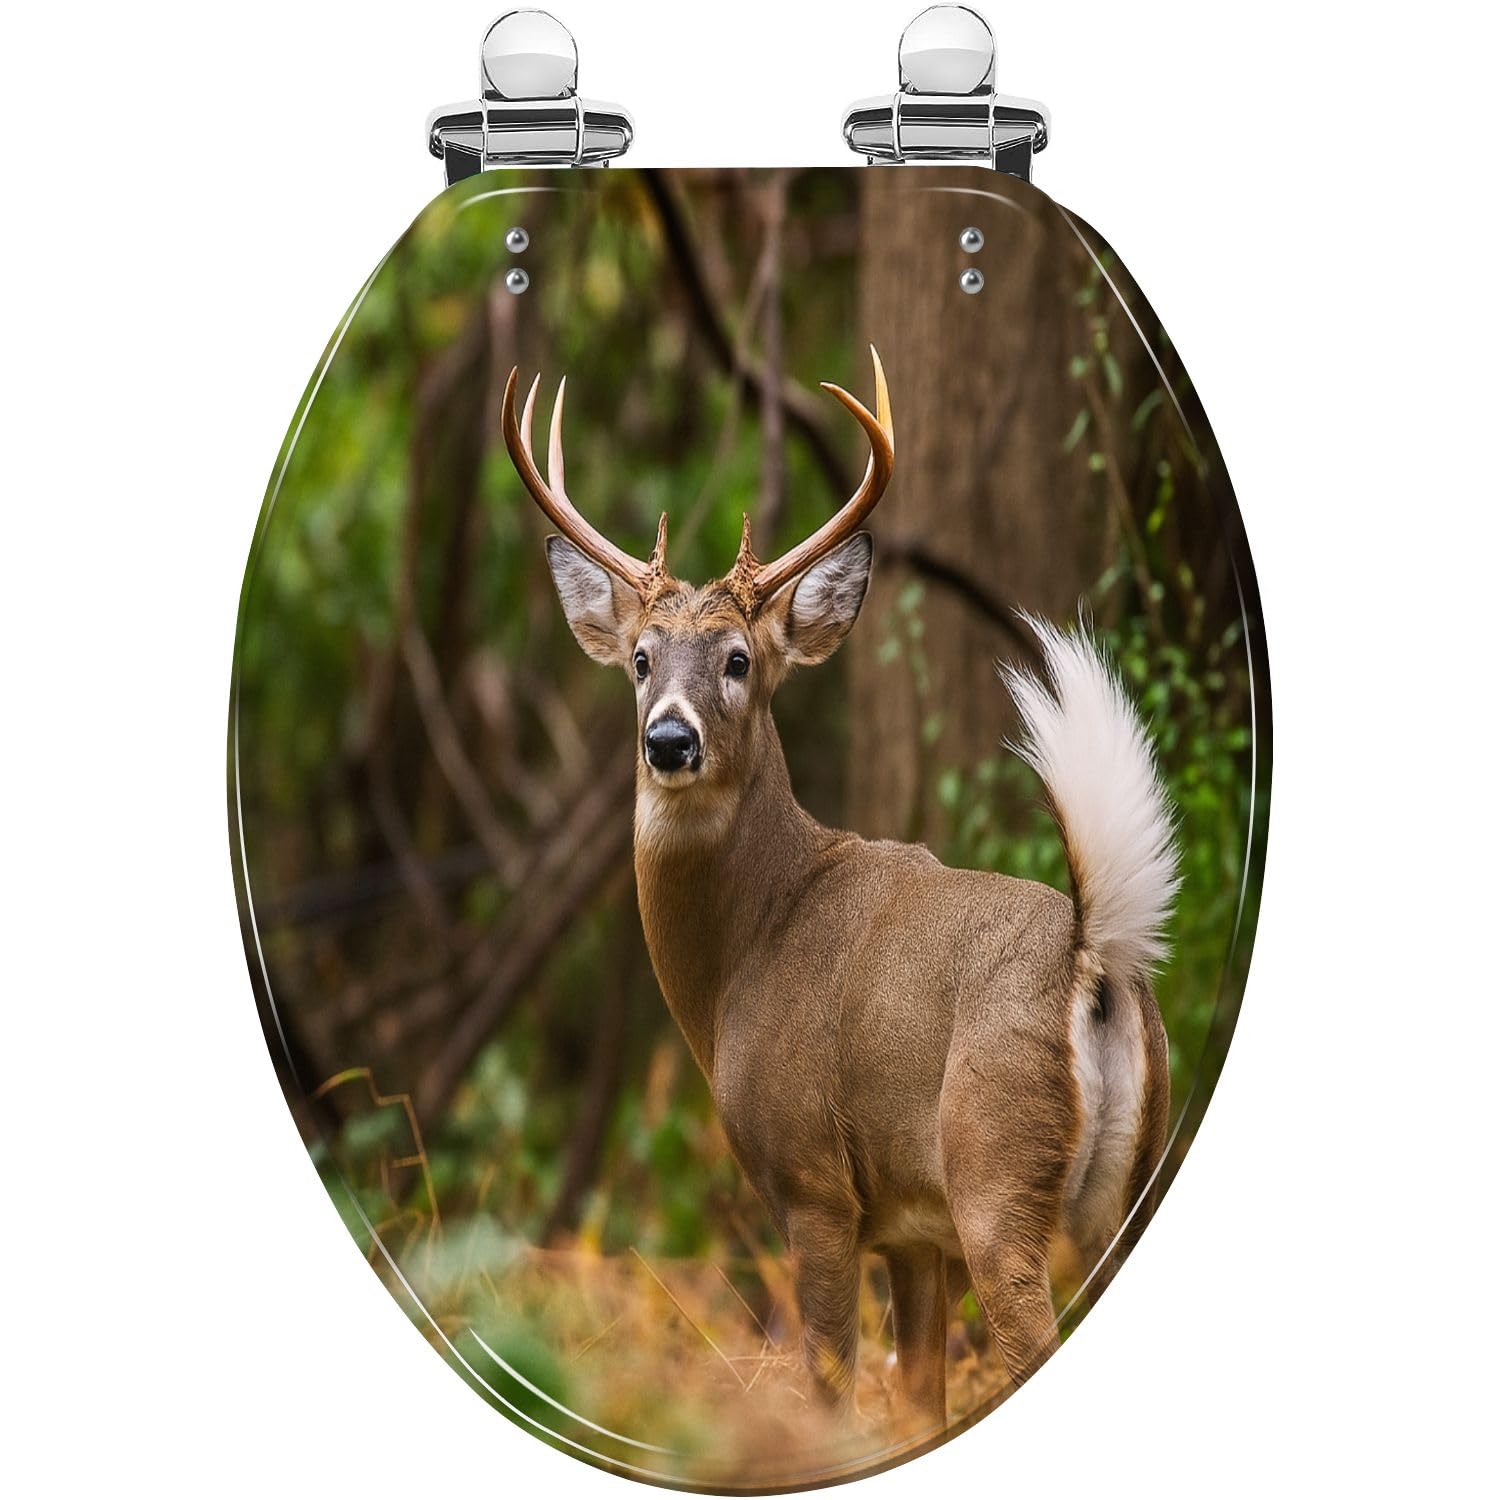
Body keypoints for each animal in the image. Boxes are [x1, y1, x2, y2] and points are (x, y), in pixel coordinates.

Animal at [501, 348, 1178, 1430]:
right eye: (641, 659)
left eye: (739, 660)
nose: (669, 740)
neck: (742, 956)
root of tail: (1095, 957)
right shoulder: (911, 1228)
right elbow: (916, 1401)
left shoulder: (814, 1183)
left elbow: (827, 1390)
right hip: (1127, 1185)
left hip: (996, 1168)